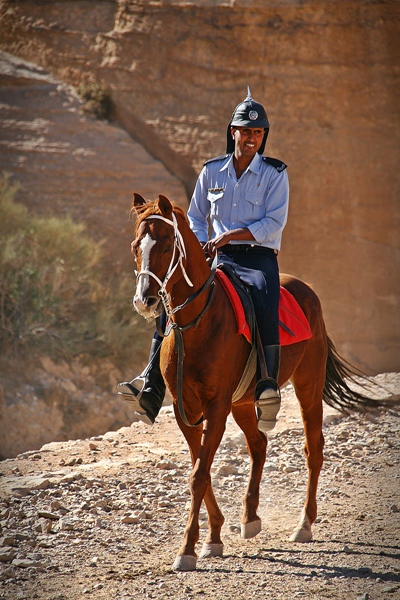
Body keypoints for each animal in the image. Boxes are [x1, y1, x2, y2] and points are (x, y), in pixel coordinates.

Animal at [130, 192, 382, 572]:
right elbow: (200, 470)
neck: (199, 324)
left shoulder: (216, 407)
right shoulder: (185, 409)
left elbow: (199, 475)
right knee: (259, 446)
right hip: (245, 403)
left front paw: (188, 549)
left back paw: (304, 524)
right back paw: (250, 518)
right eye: (136, 246)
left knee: (314, 450)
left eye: (165, 245)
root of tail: (307, 290)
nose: (144, 300)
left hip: (307, 387)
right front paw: (214, 537)